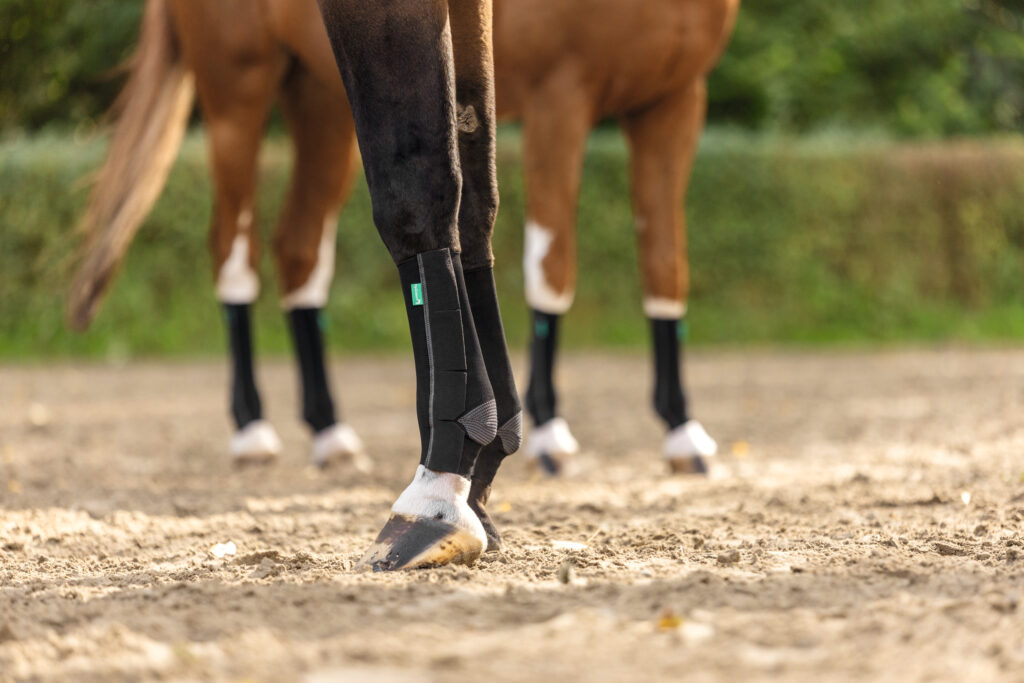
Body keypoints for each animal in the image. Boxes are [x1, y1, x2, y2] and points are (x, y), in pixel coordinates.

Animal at [71, 0, 522, 571]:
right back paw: (253, 429)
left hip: (313, 96)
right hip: (238, 87)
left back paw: (326, 431)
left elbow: (467, 196)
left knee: (298, 247)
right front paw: (449, 484)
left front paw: (467, 483)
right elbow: (419, 189)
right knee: (237, 246)